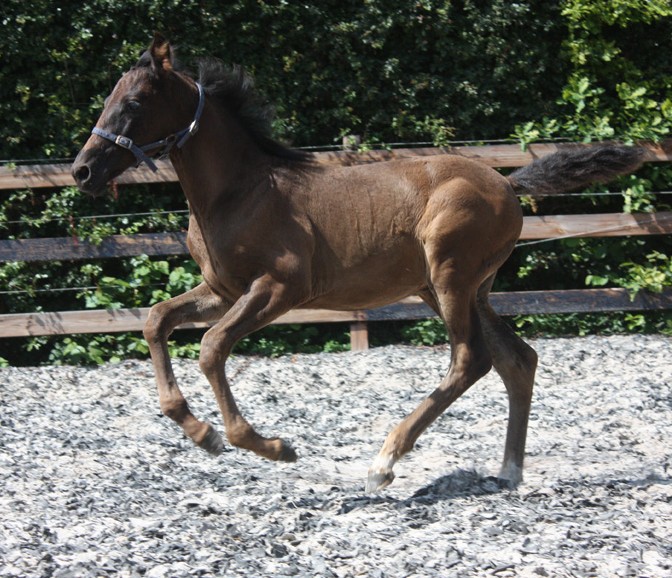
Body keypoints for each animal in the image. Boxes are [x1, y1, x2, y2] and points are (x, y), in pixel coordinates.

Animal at [72, 35, 644, 492]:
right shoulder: (223, 290)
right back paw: (508, 471)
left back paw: (384, 462)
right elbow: (156, 320)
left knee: (470, 360)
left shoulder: (279, 288)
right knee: (517, 359)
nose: (82, 171)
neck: (239, 192)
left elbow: (212, 348)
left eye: (135, 102)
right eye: (108, 99)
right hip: (457, 288)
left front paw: (268, 446)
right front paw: (201, 433)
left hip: (450, 278)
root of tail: (507, 183)